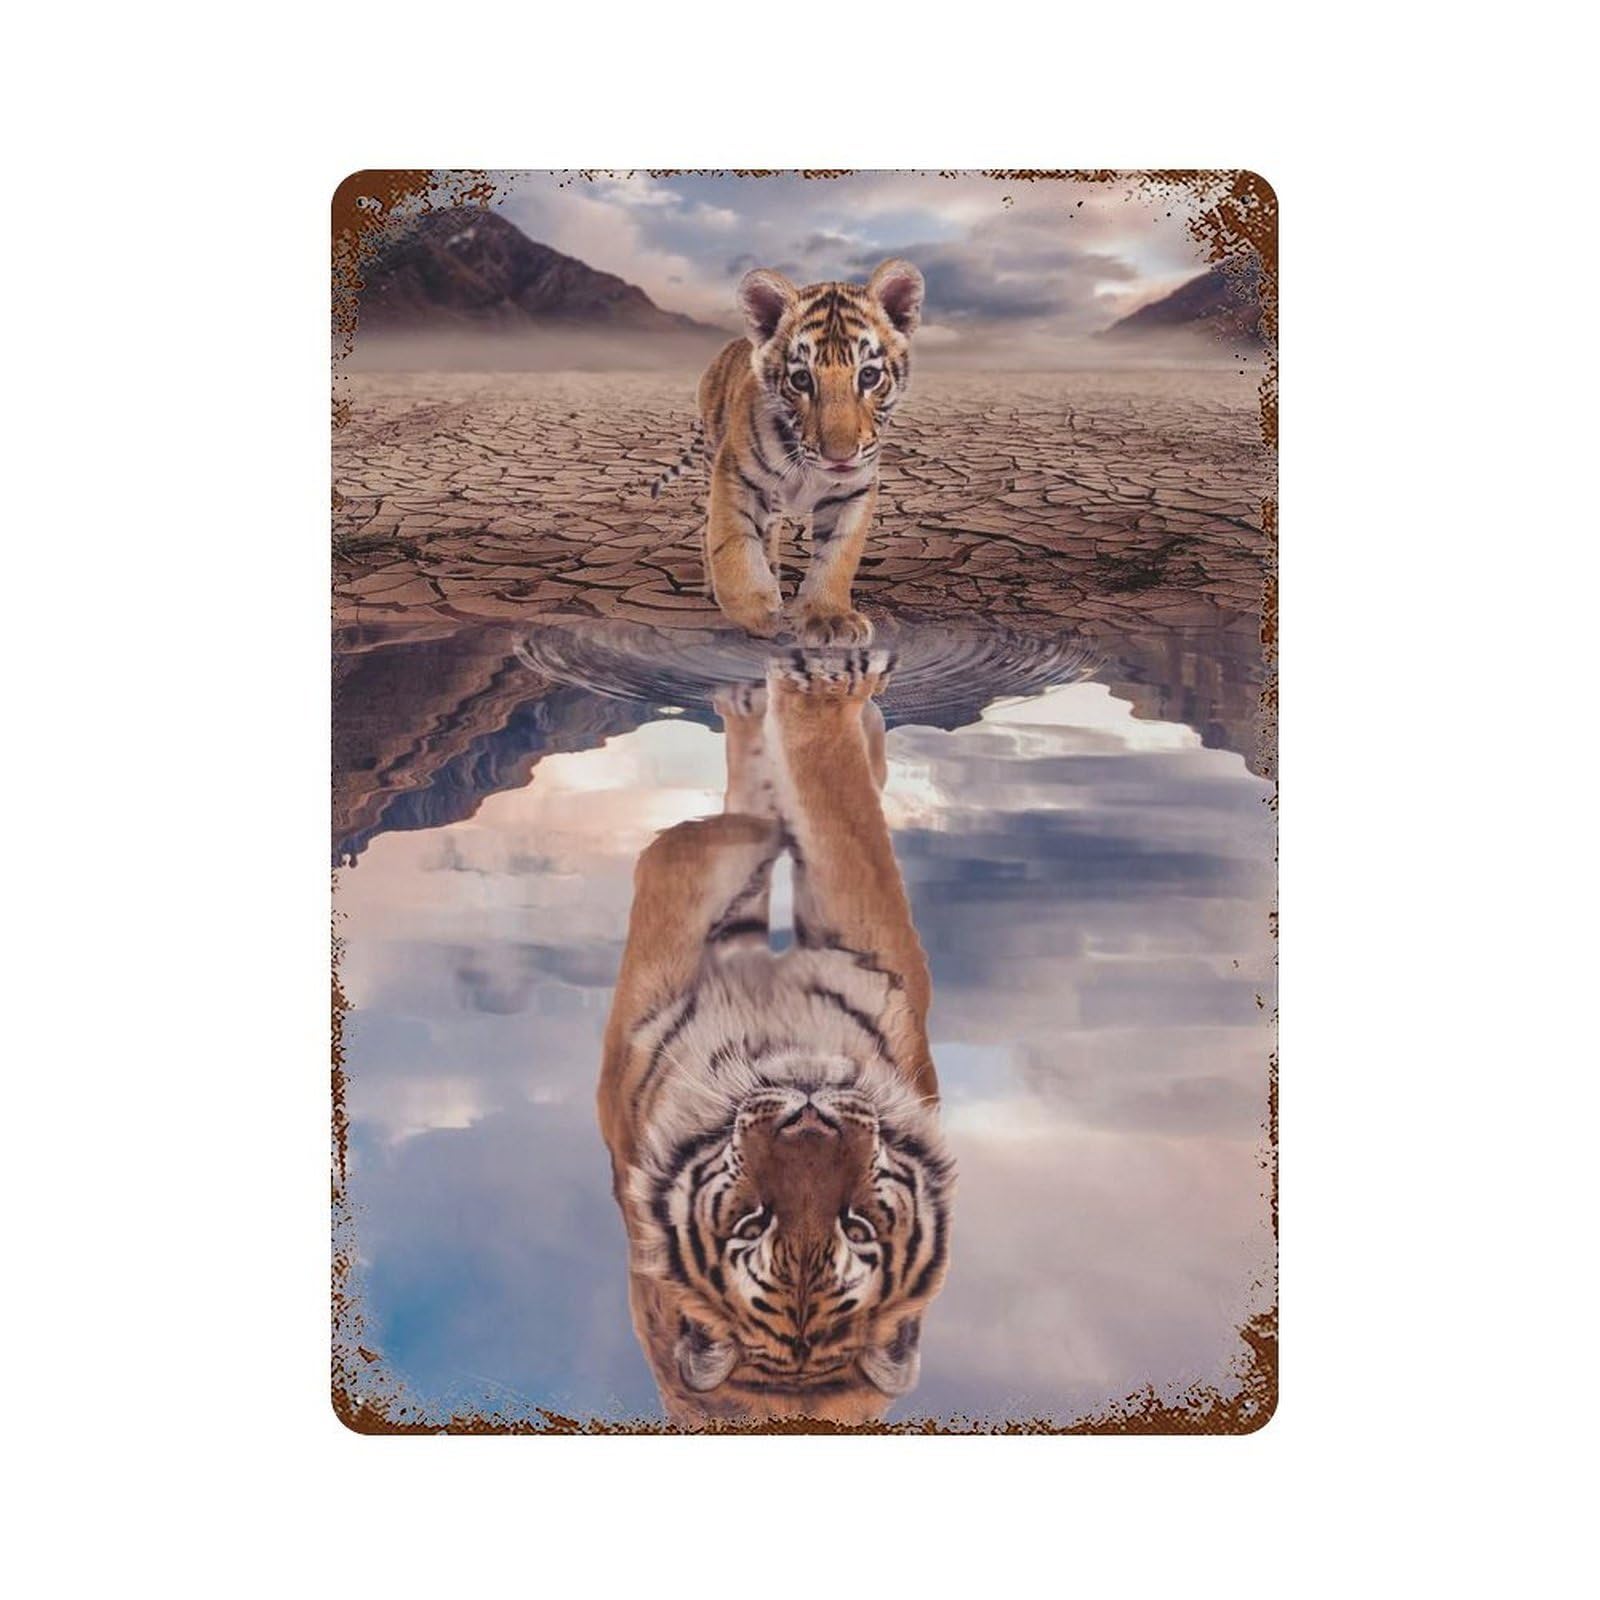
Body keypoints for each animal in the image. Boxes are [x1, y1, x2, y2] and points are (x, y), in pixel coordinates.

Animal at [596, 648, 954, 1426]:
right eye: (749, 1225)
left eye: (860, 1229)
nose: (811, 1116)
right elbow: (809, 812)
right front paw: (822, 699)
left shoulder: (874, 952)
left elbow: (806, 814)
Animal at [691, 259, 925, 645]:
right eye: (801, 380)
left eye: (869, 376)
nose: (839, 456)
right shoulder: (735, 473)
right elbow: (733, 541)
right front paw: (758, 613)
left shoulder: (854, 489)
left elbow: (838, 555)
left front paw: (830, 617)